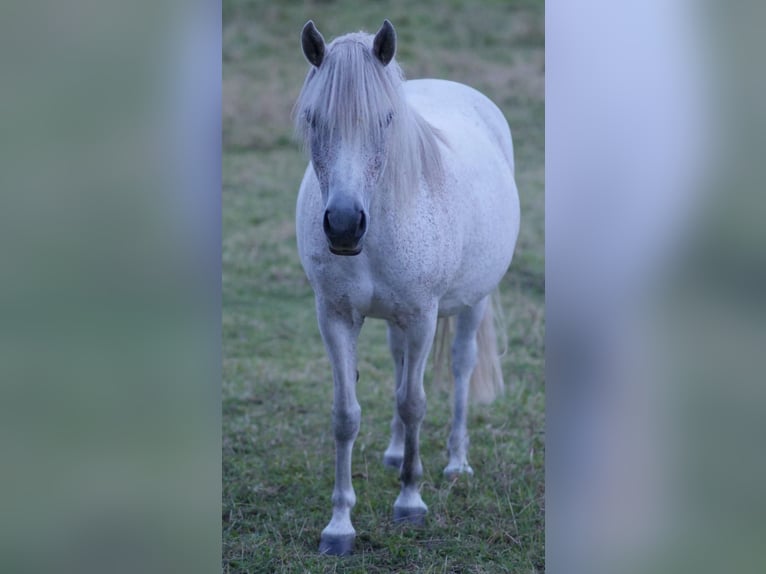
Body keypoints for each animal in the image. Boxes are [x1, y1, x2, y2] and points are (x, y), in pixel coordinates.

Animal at [294, 19, 520, 556]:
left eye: (386, 119)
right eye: (314, 119)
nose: (344, 225)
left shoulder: (421, 316)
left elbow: (414, 402)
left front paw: (410, 503)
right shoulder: (335, 316)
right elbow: (346, 414)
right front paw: (339, 525)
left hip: (472, 303)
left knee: (459, 367)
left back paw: (456, 462)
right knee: (399, 365)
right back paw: (397, 454)